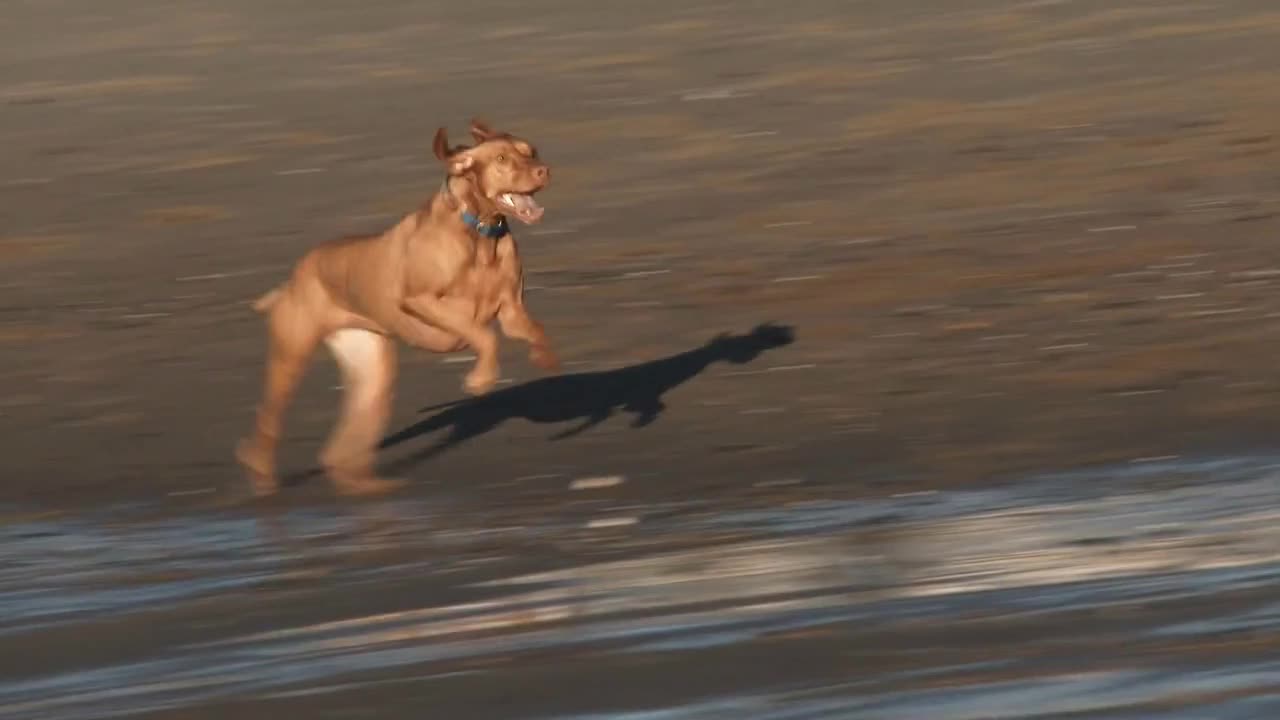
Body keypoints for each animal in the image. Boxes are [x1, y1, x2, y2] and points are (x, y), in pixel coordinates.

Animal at [238, 120, 558, 497]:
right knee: (268, 422)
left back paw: (366, 485)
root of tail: (293, 278)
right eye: (502, 158)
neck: (479, 233)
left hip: (373, 375)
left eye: (531, 151)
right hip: (290, 358)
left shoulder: (511, 312)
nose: (543, 170)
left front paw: (544, 358)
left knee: (338, 448)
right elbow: (483, 336)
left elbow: (533, 330)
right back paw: (261, 477)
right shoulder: (420, 300)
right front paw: (481, 379)